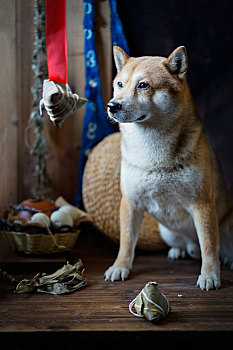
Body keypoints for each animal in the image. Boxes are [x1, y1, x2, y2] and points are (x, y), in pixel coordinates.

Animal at [105, 45, 233, 290]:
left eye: (143, 85)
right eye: (120, 84)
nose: (112, 106)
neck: (154, 157)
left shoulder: (202, 204)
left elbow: (209, 247)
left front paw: (210, 275)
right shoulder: (131, 202)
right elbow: (126, 242)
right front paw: (120, 267)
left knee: (214, 246)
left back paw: (227, 257)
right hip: (167, 232)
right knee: (188, 244)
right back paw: (179, 250)